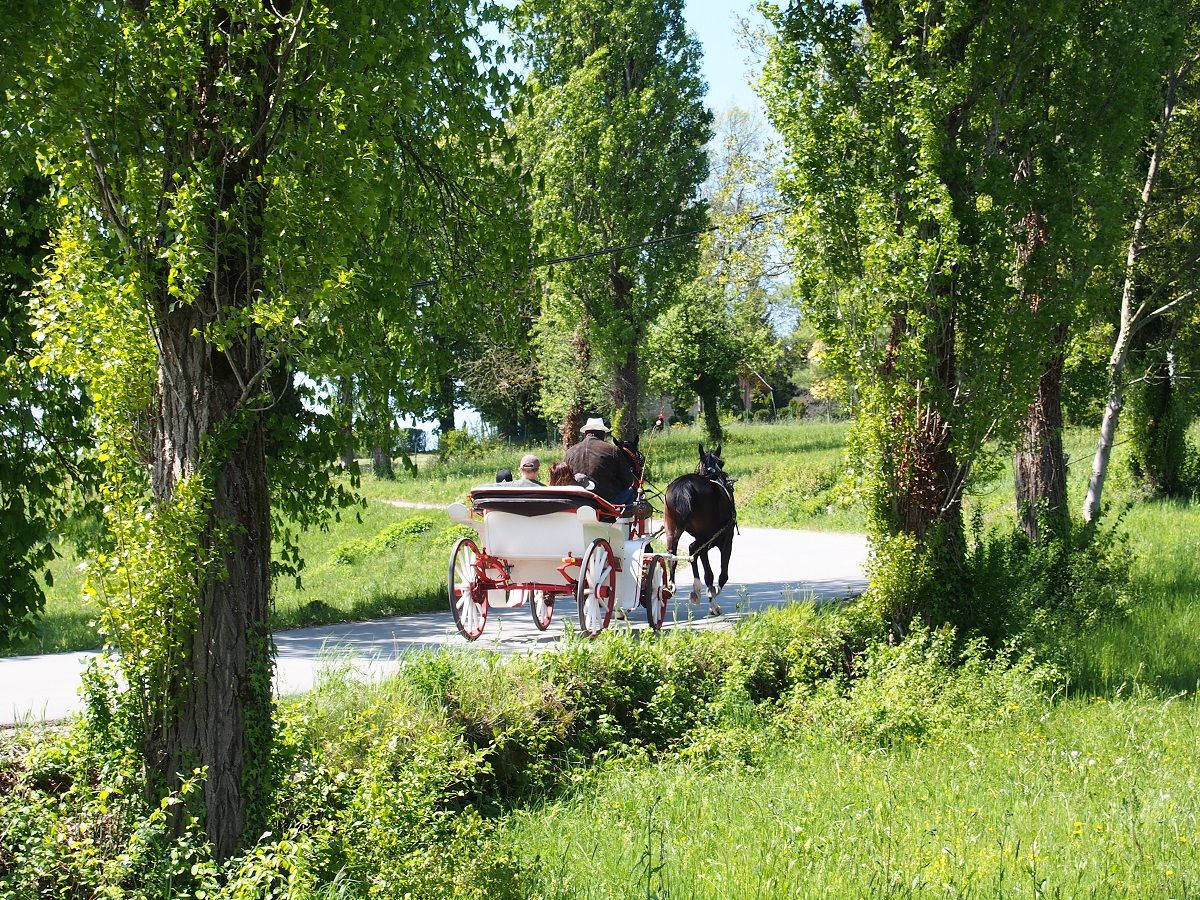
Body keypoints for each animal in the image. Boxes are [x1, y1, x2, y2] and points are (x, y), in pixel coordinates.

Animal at [662, 446, 734, 619]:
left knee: (673, 555)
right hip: (706, 536)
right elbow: (721, 574)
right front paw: (713, 597)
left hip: (671, 529)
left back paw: (674, 586)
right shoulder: (726, 539)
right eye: (722, 461)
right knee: (692, 549)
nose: (724, 475)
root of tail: (684, 486)